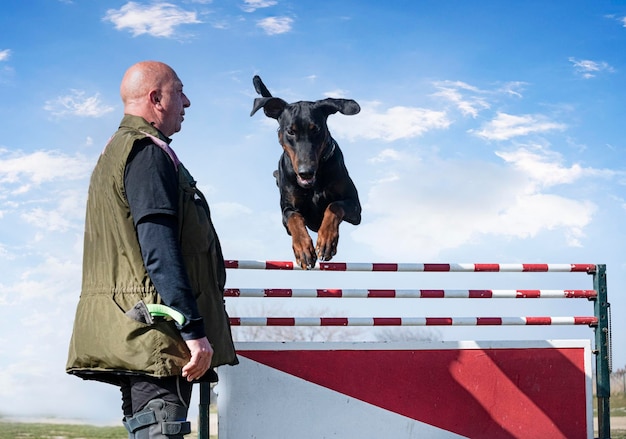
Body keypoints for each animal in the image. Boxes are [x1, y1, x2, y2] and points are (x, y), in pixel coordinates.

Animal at [250, 75, 360, 270]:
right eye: (290, 131)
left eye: (316, 129)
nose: (306, 172)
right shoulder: (286, 211)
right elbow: (294, 217)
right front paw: (303, 249)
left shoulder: (355, 207)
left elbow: (334, 205)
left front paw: (326, 242)